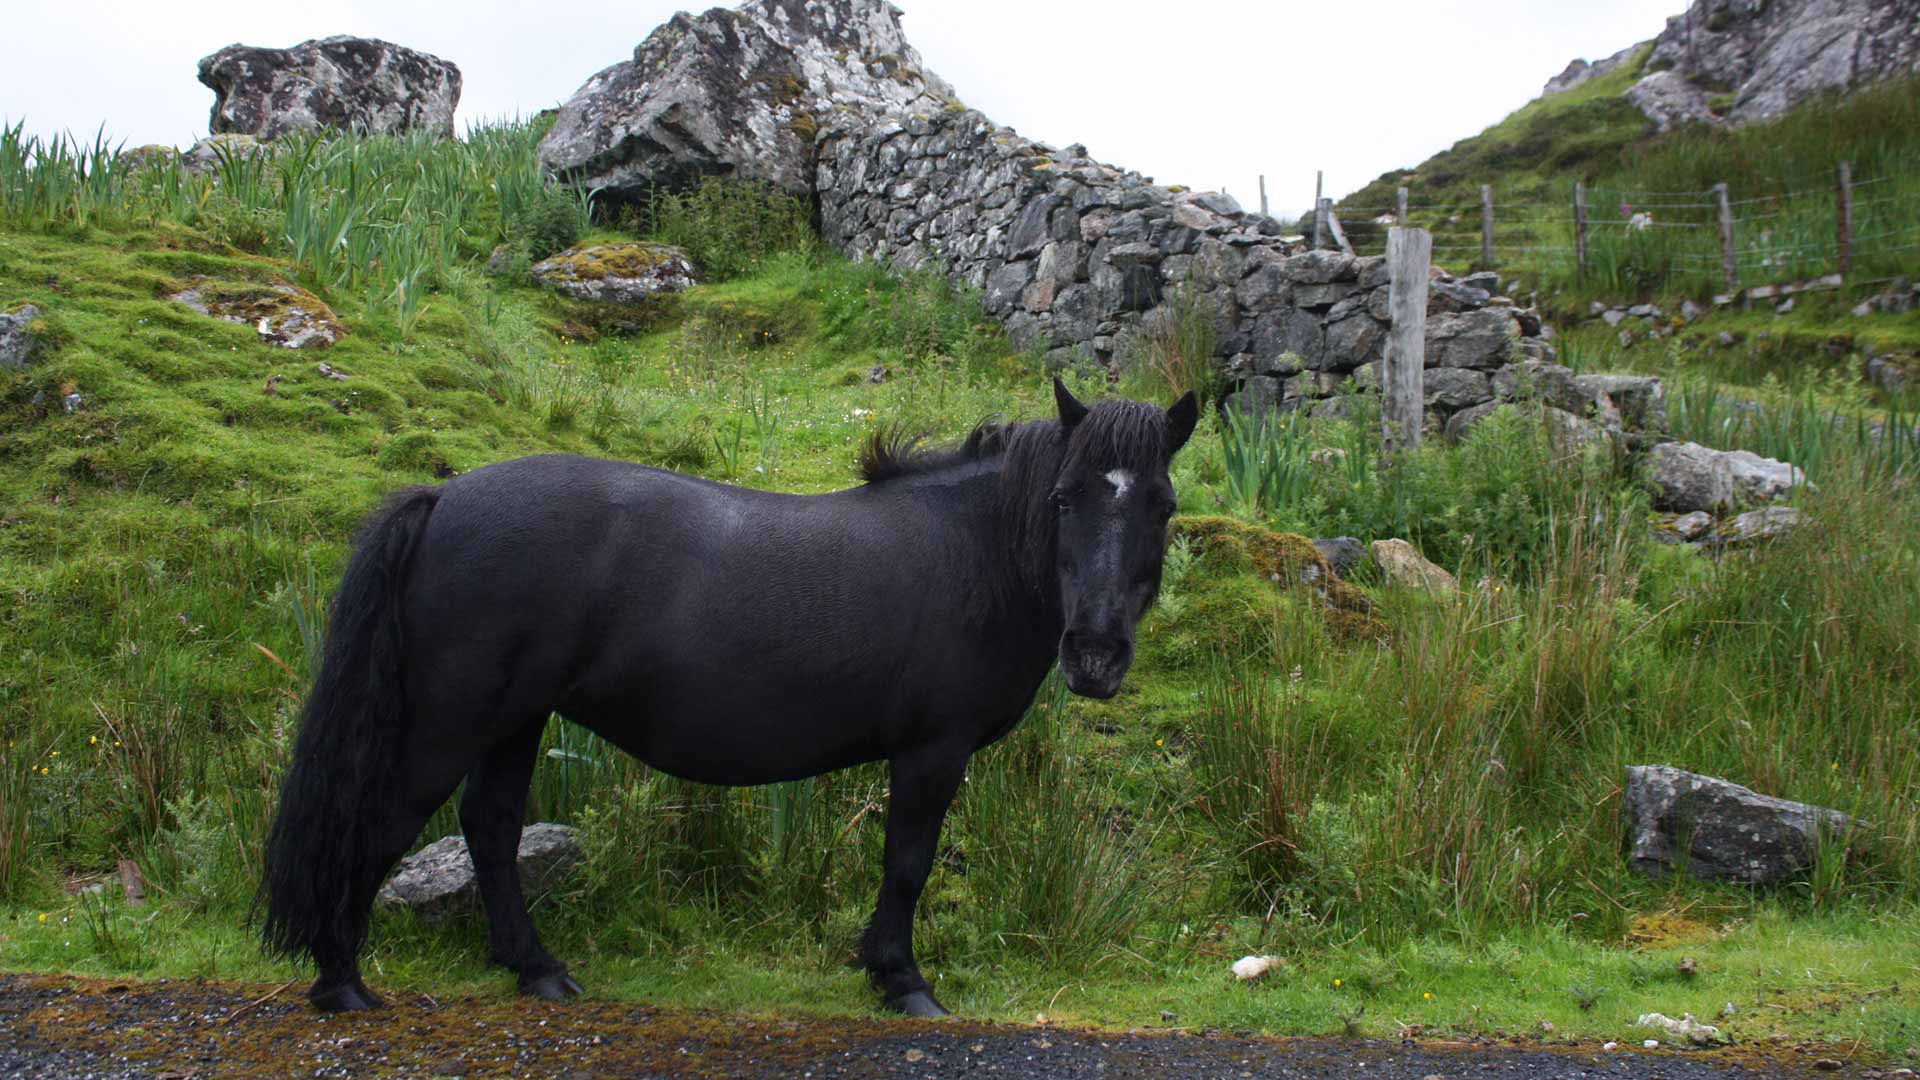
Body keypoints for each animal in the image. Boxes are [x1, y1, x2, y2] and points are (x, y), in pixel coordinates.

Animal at [263, 376, 1190, 1006]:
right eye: (1064, 498)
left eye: (1163, 506)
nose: (1095, 656)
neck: (972, 552)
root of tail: (445, 495)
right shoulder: (932, 753)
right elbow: (907, 864)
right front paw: (900, 980)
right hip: (451, 721)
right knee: (380, 822)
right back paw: (341, 982)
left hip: (514, 721)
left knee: (489, 830)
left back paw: (536, 968)